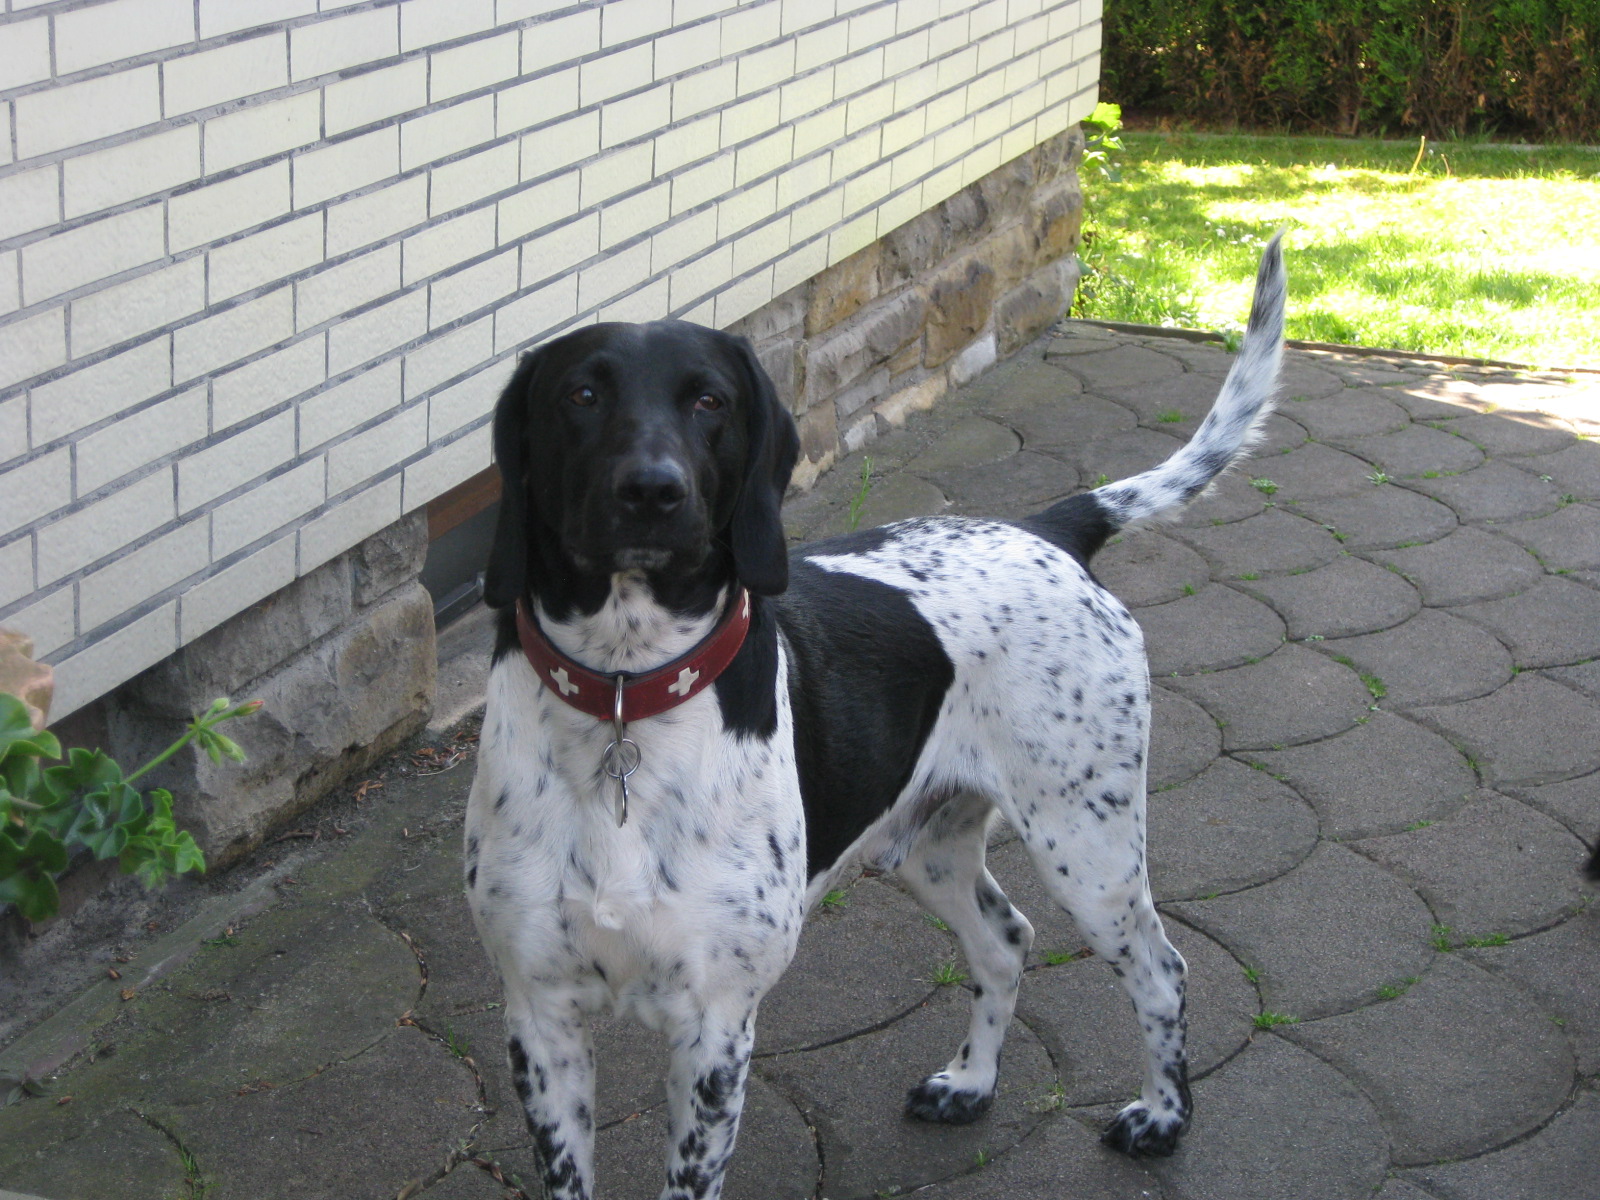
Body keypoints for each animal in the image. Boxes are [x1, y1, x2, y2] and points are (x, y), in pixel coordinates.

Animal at [464, 240, 1286, 1196]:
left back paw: (1162, 1115)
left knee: (1161, 971)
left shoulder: (714, 1027)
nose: (651, 492)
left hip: (1091, 849)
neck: (629, 694)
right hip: (932, 845)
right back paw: (971, 1083)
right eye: (581, 395)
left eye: (710, 400)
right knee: (1006, 942)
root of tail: (1050, 526)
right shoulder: (540, 1018)